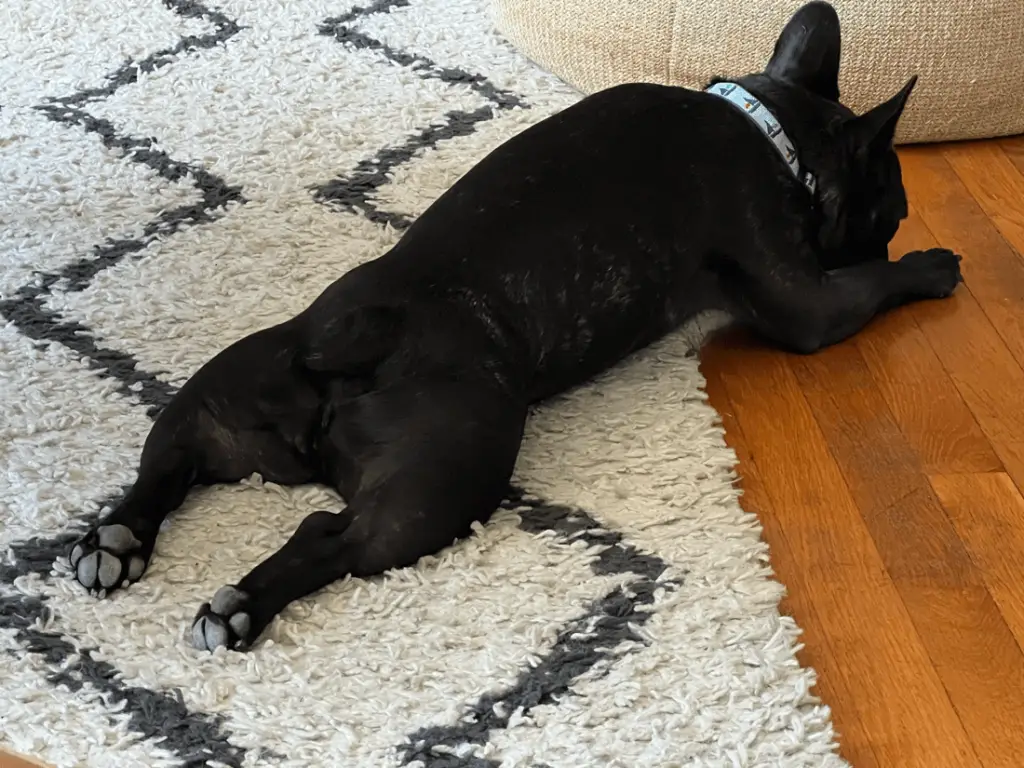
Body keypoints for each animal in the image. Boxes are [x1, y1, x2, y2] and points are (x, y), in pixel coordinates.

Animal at [61, 0, 958, 651]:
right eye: (893, 214)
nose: (896, 238)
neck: (772, 132)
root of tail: (365, 331)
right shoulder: (803, 303)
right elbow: (863, 288)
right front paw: (929, 266)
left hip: (228, 396)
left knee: (167, 464)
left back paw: (116, 542)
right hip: (449, 475)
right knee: (330, 536)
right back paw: (241, 606)